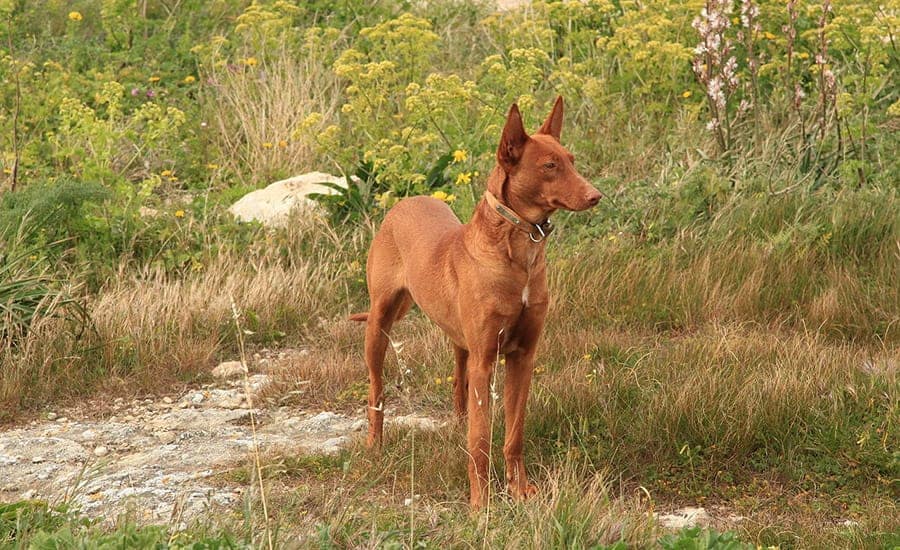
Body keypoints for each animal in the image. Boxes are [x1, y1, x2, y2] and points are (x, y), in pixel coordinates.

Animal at [348, 97, 600, 512]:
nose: (596, 196)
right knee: (376, 390)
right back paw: (374, 444)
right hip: (379, 325)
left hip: (459, 342)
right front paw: (481, 503)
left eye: (572, 160)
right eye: (549, 166)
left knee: (457, 383)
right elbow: (481, 440)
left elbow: (513, 434)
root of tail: (407, 200)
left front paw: (519, 490)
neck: (517, 253)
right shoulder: (485, 362)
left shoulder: (522, 357)